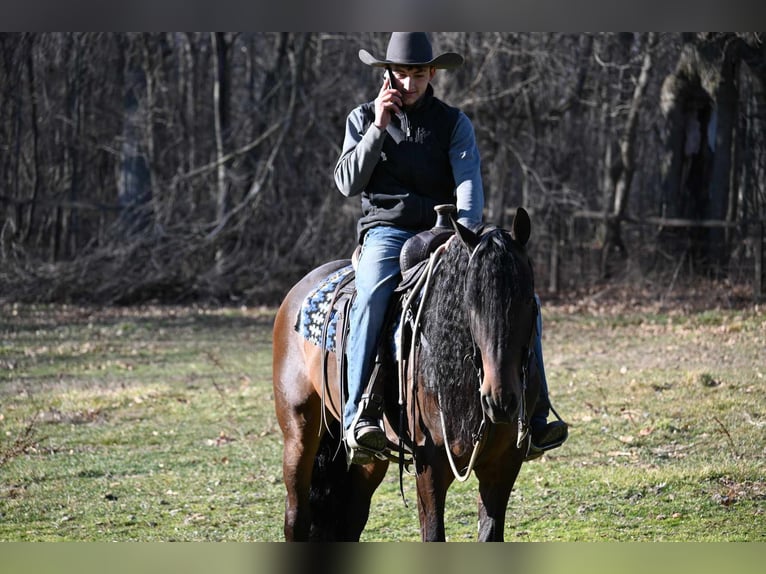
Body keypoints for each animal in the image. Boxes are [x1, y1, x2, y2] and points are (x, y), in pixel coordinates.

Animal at [272, 209, 544, 544]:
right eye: (471, 301)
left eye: (527, 297)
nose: (500, 399)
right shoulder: (430, 465)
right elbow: (433, 534)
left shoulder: (504, 464)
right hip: (298, 434)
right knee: (296, 517)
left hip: (369, 461)